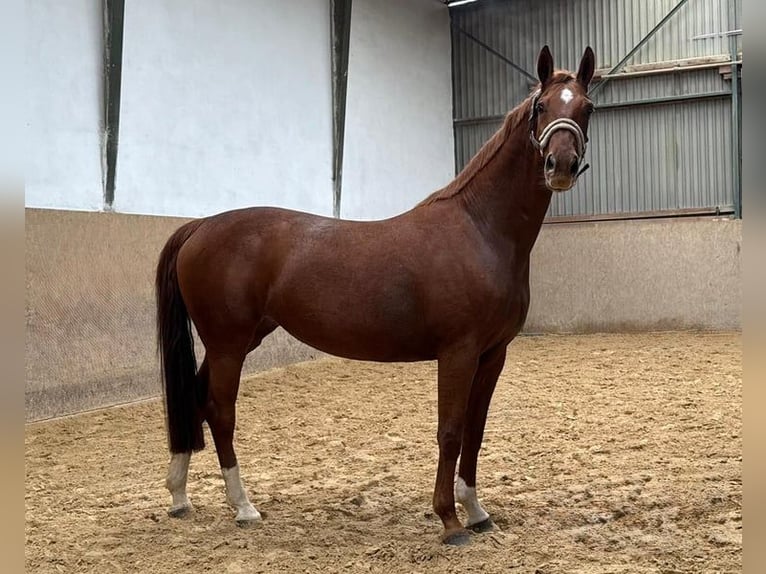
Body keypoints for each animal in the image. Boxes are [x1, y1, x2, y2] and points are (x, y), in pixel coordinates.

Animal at [155, 45, 596, 545]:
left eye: (586, 107)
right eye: (541, 107)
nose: (560, 166)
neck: (480, 229)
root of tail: (200, 226)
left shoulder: (492, 354)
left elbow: (476, 431)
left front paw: (476, 511)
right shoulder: (458, 352)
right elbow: (450, 431)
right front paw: (450, 521)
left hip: (238, 340)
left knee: (195, 399)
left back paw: (180, 496)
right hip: (228, 344)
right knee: (220, 410)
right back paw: (243, 507)